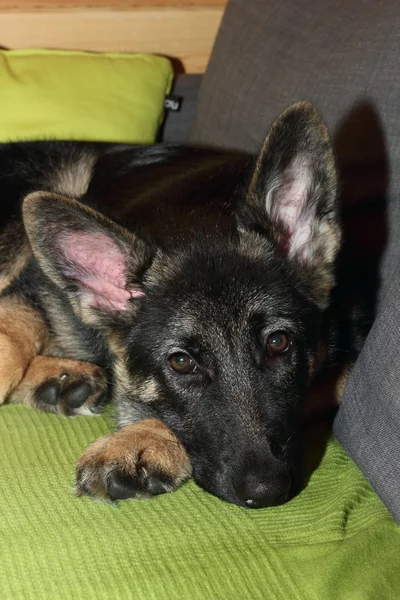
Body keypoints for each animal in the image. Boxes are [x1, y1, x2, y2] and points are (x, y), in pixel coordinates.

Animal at [0, 102, 366, 506]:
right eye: (181, 362)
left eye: (278, 342)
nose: (267, 491)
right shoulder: (32, 287)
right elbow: (14, 337)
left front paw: (145, 436)